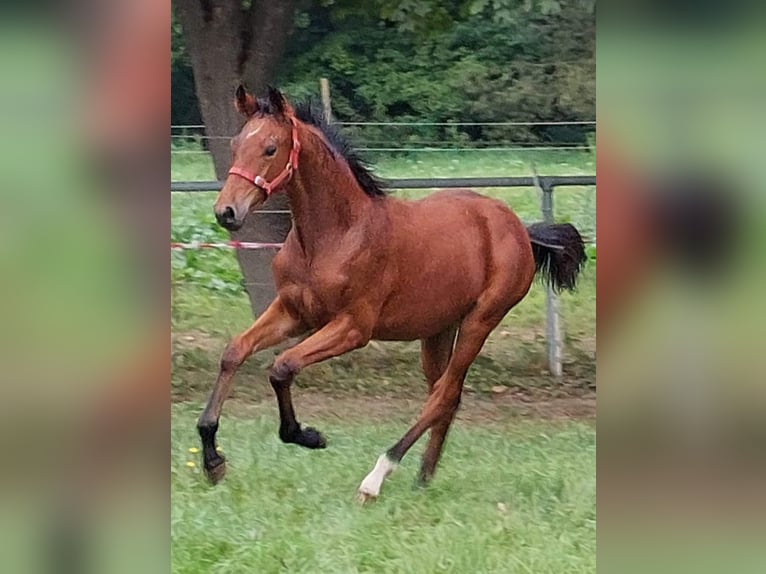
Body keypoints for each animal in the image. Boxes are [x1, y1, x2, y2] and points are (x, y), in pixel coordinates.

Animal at [197, 86, 586, 502]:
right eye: (235, 144)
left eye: (270, 148)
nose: (226, 212)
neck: (334, 235)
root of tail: (519, 229)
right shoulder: (292, 311)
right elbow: (234, 352)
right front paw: (212, 459)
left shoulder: (353, 328)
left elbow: (283, 366)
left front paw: (307, 435)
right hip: (438, 330)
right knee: (445, 395)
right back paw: (423, 478)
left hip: (480, 322)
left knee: (443, 395)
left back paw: (376, 478)